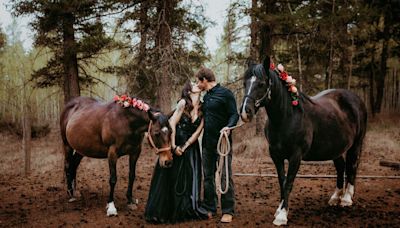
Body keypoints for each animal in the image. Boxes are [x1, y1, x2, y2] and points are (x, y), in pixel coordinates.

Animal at [239, 58, 368, 225]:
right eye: (245, 83)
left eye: (261, 84)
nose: (245, 112)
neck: (287, 117)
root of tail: (356, 99)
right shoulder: (276, 156)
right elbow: (282, 181)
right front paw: (280, 210)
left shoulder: (296, 156)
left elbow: (288, 183)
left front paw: (282, 216)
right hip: (335, 148)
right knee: (341, 167)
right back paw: (335, 197)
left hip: (356, 144)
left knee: (352, 166)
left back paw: (346, 199)